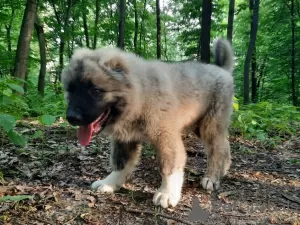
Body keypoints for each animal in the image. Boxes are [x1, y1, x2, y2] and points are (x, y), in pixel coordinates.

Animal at [61, 39, 234, 209]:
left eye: (95, 91)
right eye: (71, 90)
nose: (71, 117)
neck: (141, 95)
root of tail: (222, 69)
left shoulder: (165, 136)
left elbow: (169, 167)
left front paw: (167, 193)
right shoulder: (125, 139)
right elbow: (120, 162)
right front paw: (110, 183)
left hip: (209, 125)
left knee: (217, 149)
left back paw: (212, 177)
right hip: (200, 125)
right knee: (224, 145)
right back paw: (223, 170)